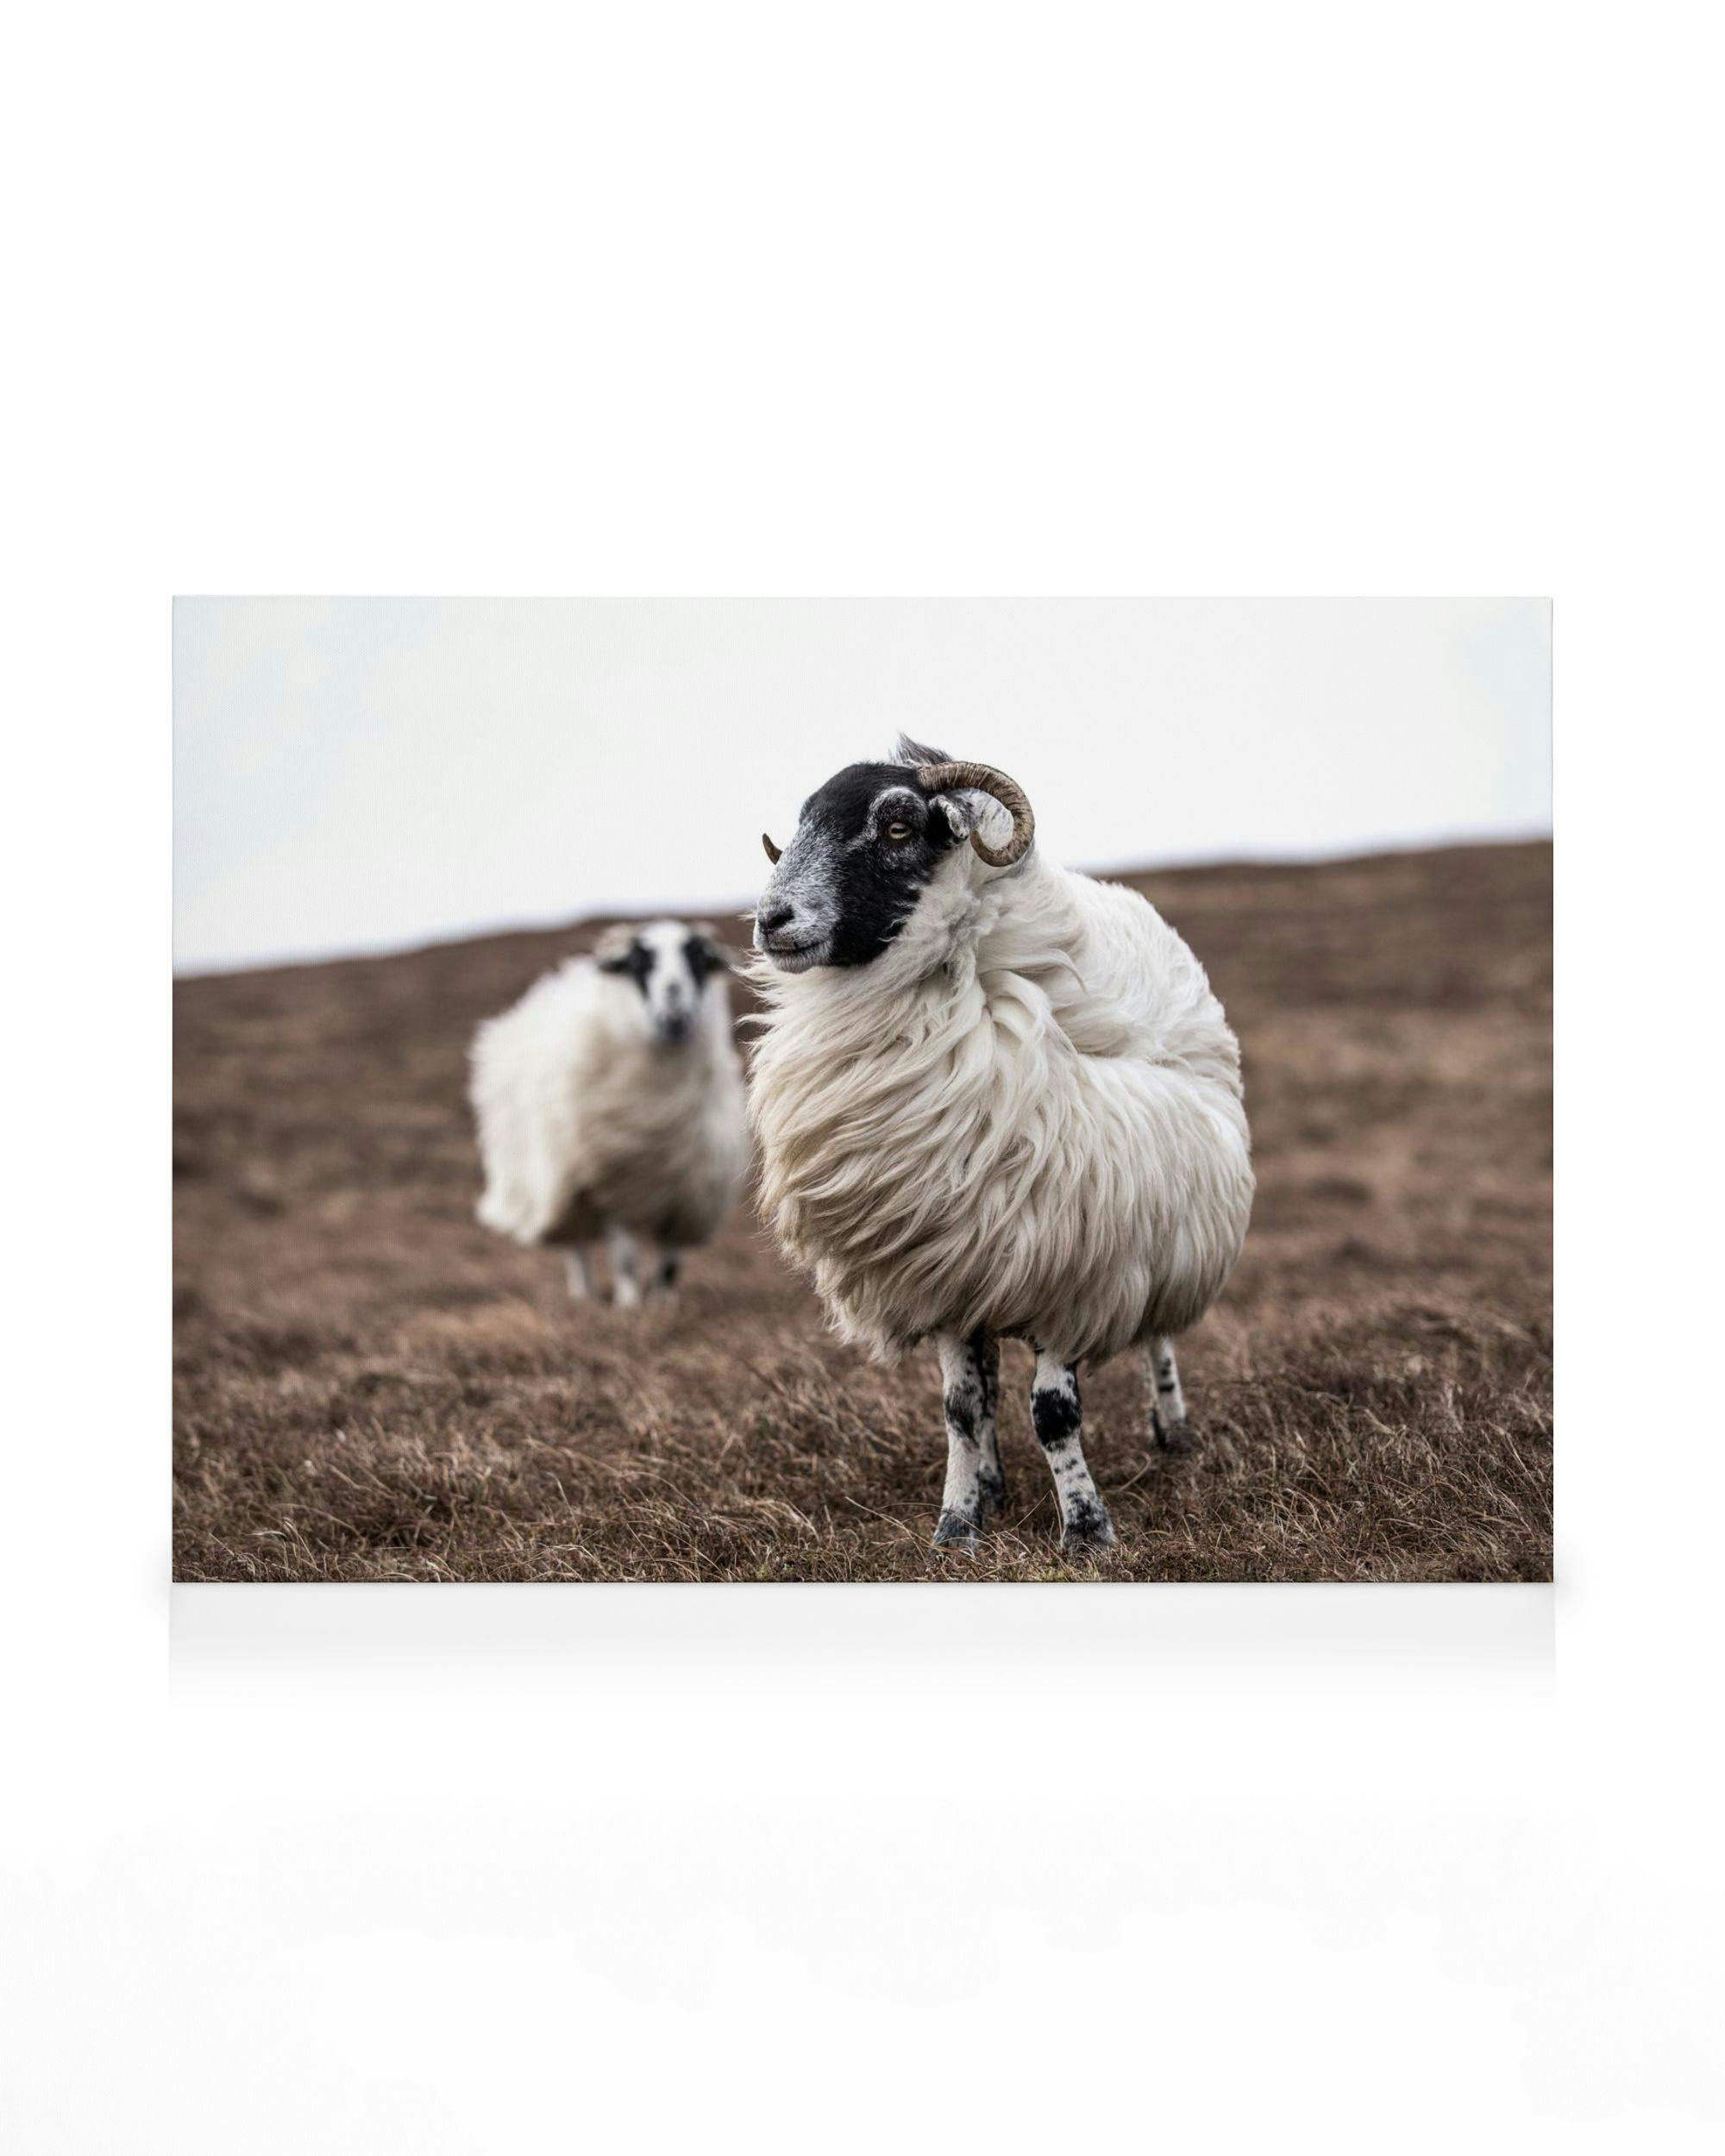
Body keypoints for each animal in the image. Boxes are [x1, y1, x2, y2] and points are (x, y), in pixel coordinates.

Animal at [471, 920, 747, 1307]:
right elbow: (625, 1257)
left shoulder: (689, 1194)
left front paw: (664, 1305)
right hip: (562, 1186)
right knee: (577, 1248)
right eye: (639, 963)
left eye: (697, 960)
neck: (657, 1112)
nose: (675, 1016)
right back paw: (584, 1296)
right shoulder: (613, 1188)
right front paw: (630, 1306)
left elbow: (670, 1262)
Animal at [747, 739, 1254, 1555]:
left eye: (896, 827)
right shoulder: (948, 1263)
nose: (772, 919)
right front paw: (957, 1525)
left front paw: (1086, 1531)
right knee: (984, 1384)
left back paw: (1172, 1429)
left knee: (1156, 1336)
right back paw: (991, 1483)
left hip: (1162, 1224)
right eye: (800, 825)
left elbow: (1053, 1413)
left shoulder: (1077, 1264)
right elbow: (961, 1406)